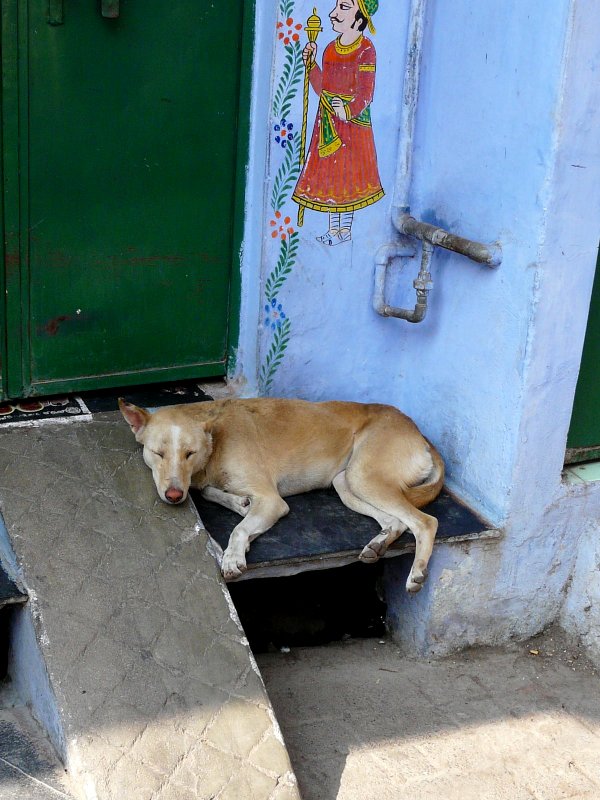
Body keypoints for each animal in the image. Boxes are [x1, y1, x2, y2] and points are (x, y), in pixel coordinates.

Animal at [119, 396, 442, 592]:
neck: (215, 442)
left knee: (426, 522)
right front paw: (239, 503)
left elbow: (238, 529)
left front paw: (233, 556)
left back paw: (416, 573)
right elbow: (212, 492)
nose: (174, 495)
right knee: (396, 521)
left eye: (189, 453)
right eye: (158, 453)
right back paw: (378, 545)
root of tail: (419, 433)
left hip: (364, 477)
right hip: (346, 483)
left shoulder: (273, 501)